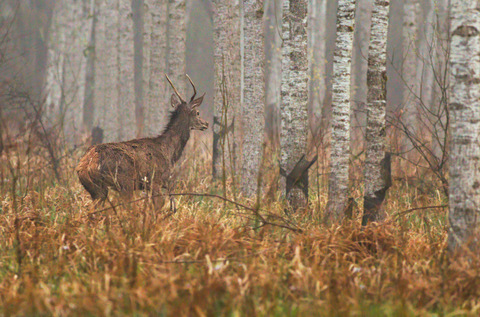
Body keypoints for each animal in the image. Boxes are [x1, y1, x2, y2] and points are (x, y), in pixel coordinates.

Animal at [76, 74, 207, 210]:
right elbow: (158, 206)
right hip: (123, 183)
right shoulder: (155, 181)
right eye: (197, 112)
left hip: (95, 189)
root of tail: (86, 164)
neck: (169, 153)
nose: (206, 124)